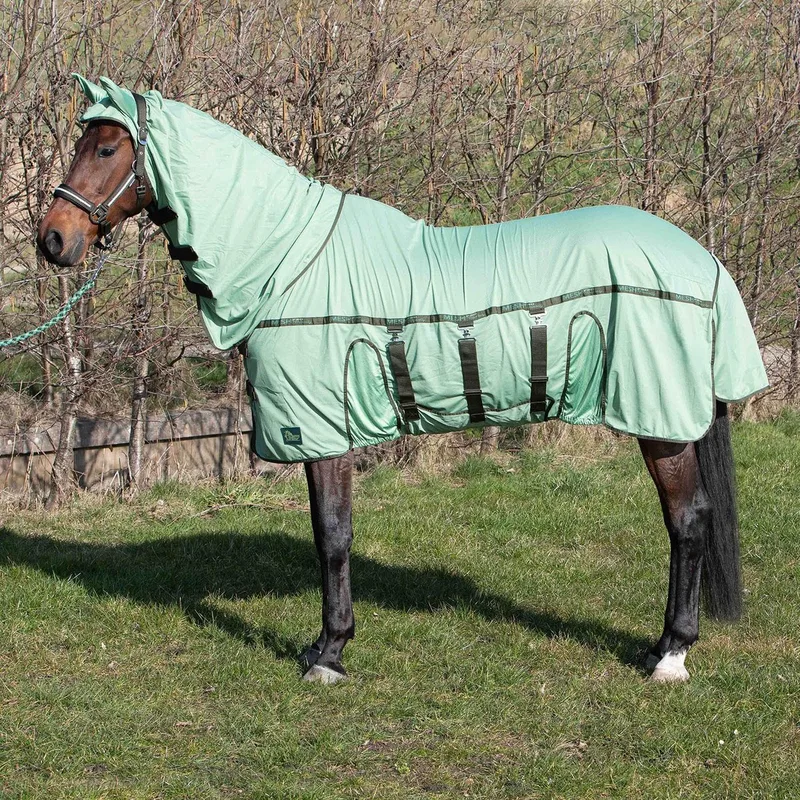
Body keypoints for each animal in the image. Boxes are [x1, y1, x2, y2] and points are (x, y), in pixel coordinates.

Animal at [37, 75, 767, 685]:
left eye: (106, 147)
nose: (53, 239)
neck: (284, 258)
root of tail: (702, 260)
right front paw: (323, 645)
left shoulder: (323, 428)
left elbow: (332, 535)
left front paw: (329, 653)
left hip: (658, 418)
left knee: (688, 521)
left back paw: (669, 654)